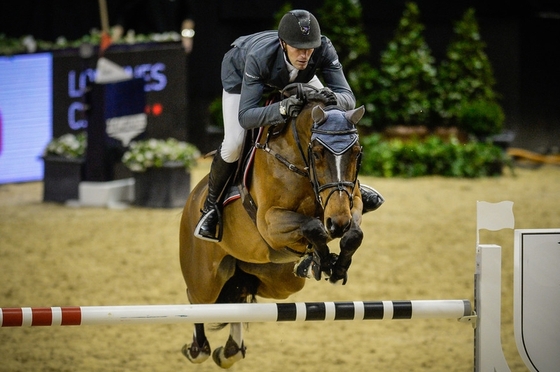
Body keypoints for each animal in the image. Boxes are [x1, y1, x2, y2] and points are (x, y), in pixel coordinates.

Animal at [179, 85, 368, 370]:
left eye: (356, 152)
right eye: (317, 153)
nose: (337, 223)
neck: (300, 162)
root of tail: (192, 200)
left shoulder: (351, 202)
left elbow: (354, 233)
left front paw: (334, 266)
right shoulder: (269, 222)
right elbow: (313, 226)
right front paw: (323, 260)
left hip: (279, 281)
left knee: (238, 296)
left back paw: (230, 351)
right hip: (205, 280)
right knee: (196, 300)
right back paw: (197, 349)